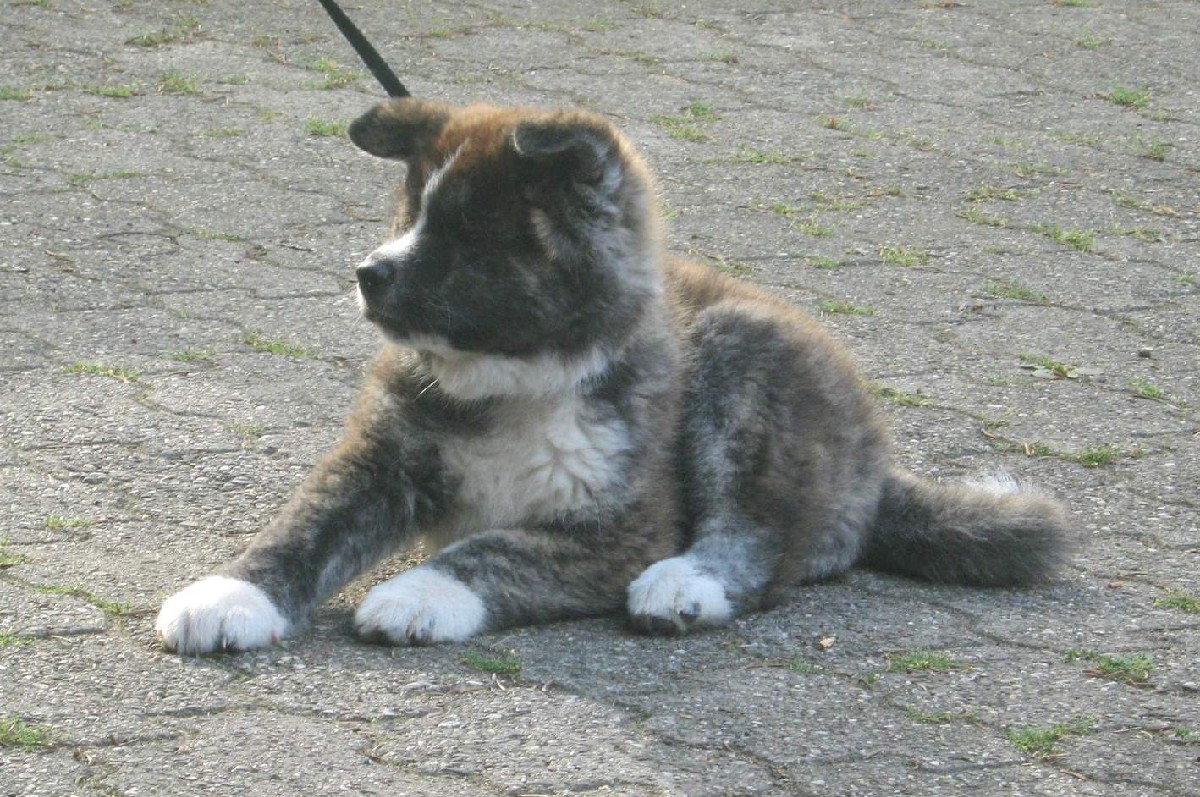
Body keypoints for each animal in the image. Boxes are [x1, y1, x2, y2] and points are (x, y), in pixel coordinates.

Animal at [155, 98, 1074, 654]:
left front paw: (421, 592)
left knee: (765, 535)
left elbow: (493, 548)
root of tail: (877, 469)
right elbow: (303, 524)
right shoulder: (381, 458)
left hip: (741, 357)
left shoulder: (621, 529)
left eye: (472, 232)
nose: (367, 273)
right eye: (409, 211)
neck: (511, 380)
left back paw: (685, 585)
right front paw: (230, 594)